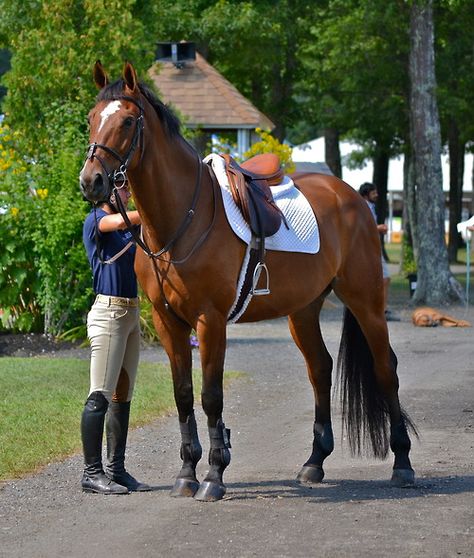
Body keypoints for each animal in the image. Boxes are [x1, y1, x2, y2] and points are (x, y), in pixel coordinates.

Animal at [79, 62, 416, 504]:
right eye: (91, 119)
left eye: (128, 121)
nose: (92, 181)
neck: (183, 218)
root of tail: (354, 199)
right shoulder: (169, 322)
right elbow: (183, 395)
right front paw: (187, 474)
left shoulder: (210, 321)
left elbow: (211, 397)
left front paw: (213, 476)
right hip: (303, 310)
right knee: (320, 369)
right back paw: (314, 463)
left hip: (366, 301)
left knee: (385, 369)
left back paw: (403, 464)